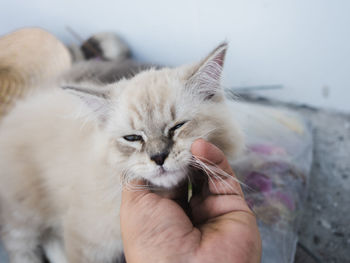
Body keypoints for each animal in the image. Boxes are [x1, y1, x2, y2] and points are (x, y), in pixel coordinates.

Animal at [0, 34, 243, 262]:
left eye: (177, 127)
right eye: (132, 138)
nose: (158, 157)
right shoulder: (86, 242)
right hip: (23, 211)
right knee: (22, 246)